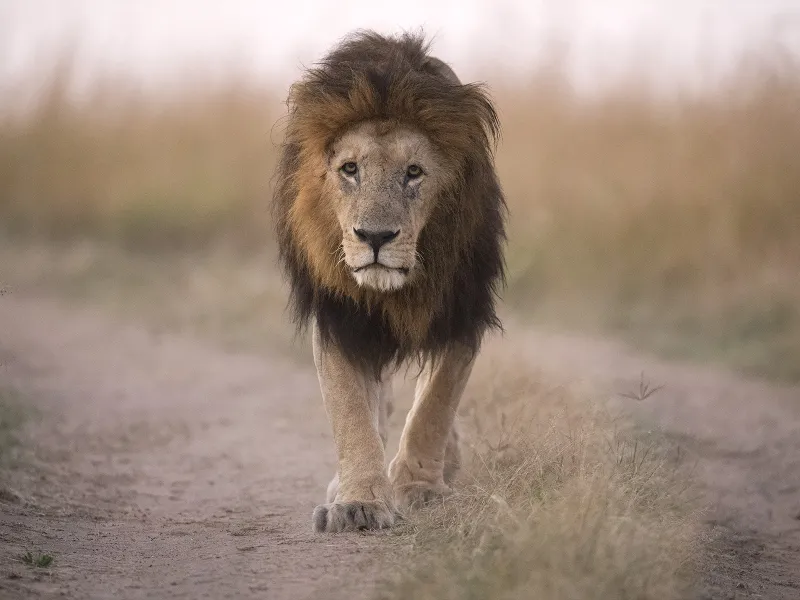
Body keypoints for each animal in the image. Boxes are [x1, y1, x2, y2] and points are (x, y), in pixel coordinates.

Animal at [273, 30, 506, 532]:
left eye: (413, 172)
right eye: (350, 169)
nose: (375, 237)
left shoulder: (461, 308)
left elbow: (435, 404)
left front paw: (421, 489)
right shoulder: (339, 318)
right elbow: (351, 412)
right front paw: (360, 501)